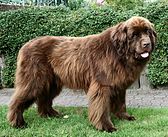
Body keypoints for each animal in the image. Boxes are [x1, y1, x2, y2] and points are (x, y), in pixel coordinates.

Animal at [6, 15, 156, 132]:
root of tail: (25, 45)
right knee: (17, 100)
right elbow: (101, 107)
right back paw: (18, 123)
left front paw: (125, 117)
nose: (147, 44)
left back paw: (51, 115)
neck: (119, 52)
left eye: (147, 32)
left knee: (44, 99)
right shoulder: (103, 84)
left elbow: (121, 103)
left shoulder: (119, 84)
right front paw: (106, 126)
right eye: (134, 35)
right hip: (34, 80)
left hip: (52, 83)